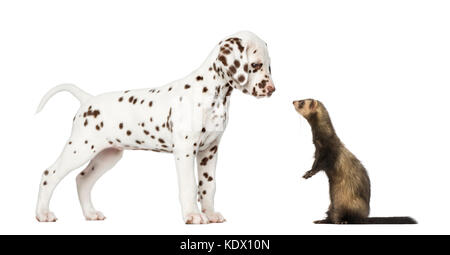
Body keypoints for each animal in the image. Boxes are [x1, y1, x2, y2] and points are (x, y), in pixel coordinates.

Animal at [35, 30, 274, 224]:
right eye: (255, 65)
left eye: (269, 66)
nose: (272, 89)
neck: (211, 93)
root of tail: (87, 99)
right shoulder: (185, 151)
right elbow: (190, 186)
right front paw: (192, 215)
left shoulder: (210, 151)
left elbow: (208, 186)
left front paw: (211, 214)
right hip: (79, 148)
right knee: (49, 174)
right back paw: (42, 214)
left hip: (107, 156)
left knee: (83, 180)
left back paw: (90, 214)